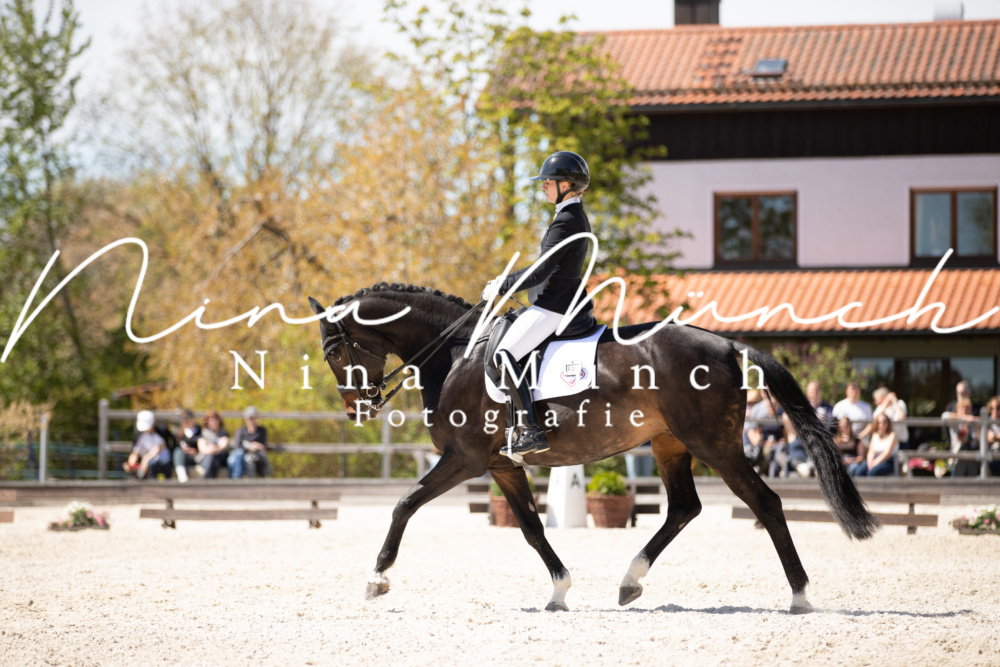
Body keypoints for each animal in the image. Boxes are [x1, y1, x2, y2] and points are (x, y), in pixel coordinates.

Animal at [307, 283, 880, 614]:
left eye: (333, 352)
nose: (356, 409)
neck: (456, 354)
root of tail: (725, 343)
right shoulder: (501, 466)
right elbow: (532, 530)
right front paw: (559, 590)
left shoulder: (463, 460)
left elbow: (404, 505)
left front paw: (377, 578)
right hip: (669, 443)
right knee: (684, 508)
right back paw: (630, 582)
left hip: (714, 445)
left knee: (765, 503)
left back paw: (799, 594)